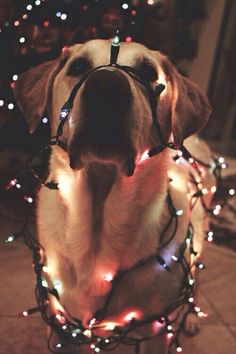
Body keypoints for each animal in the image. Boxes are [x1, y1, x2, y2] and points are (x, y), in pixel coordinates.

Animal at [14, 40, 214, 352]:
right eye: (78, 66)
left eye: (148, 71)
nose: (106, 87)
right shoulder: (60, 322)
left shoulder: (154, 330)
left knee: (197, 276)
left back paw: (191, 318)